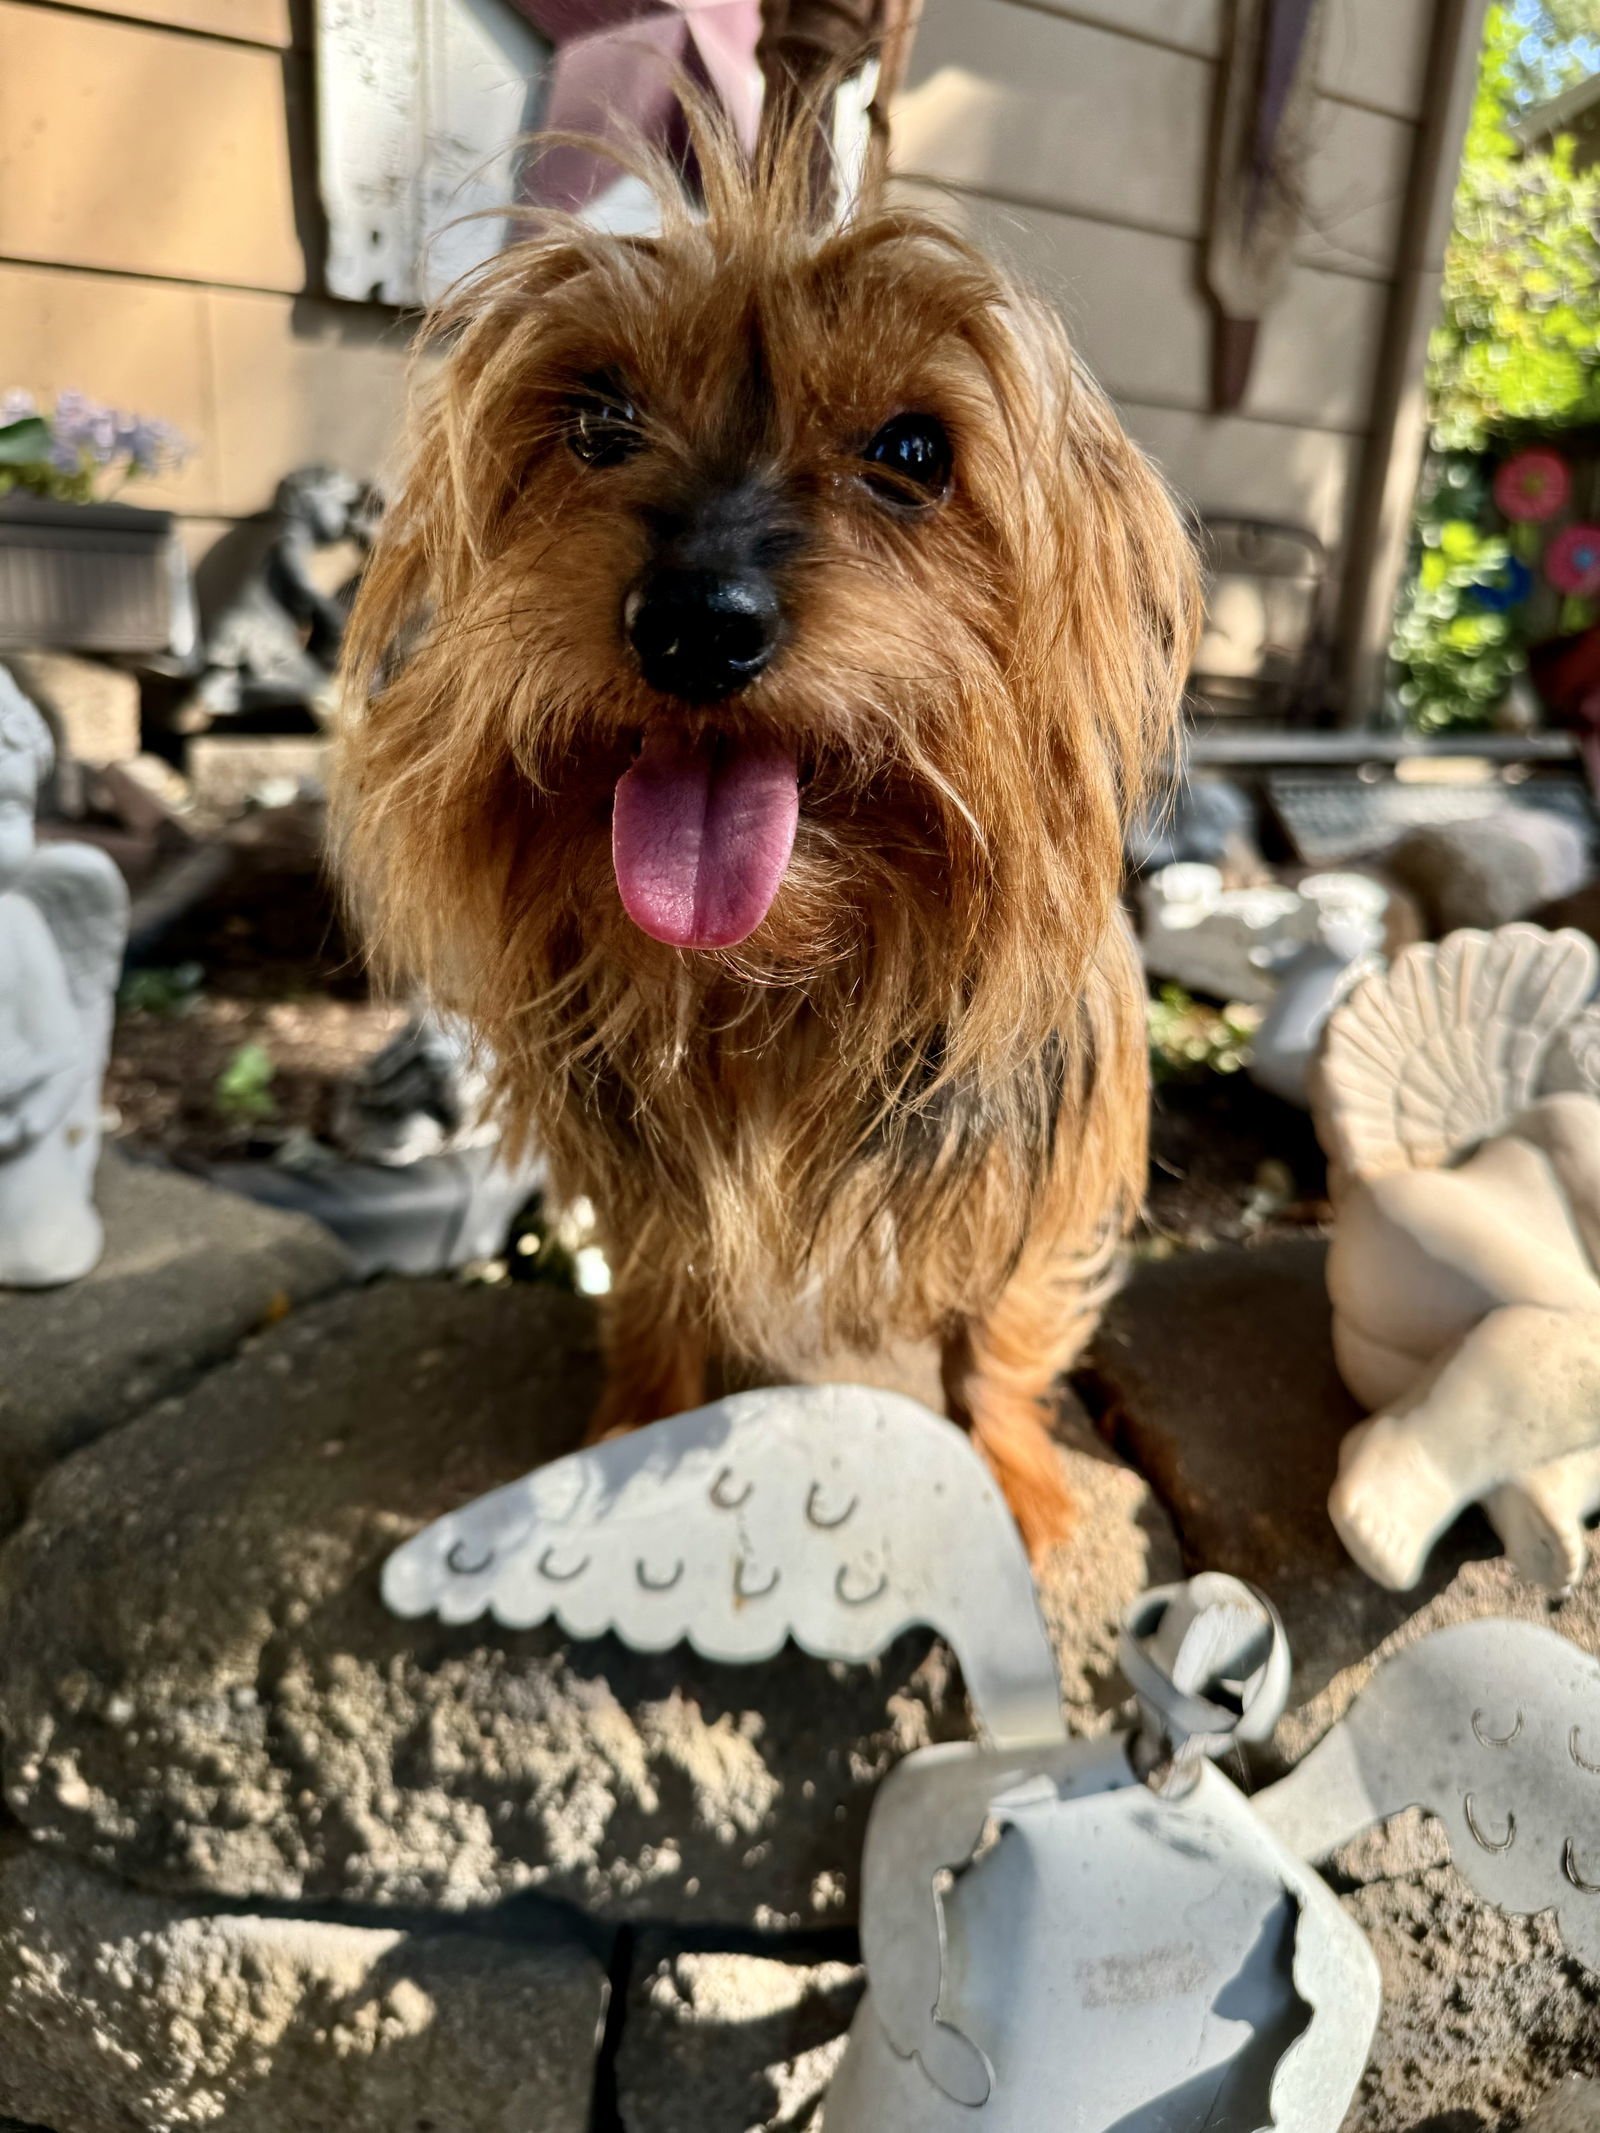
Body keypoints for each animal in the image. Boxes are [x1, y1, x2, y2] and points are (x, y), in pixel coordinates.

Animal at [339, 112, 1203, 1552]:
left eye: (913, 452)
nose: (696, 622)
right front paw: (634, 1420)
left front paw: (1016, 1477)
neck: (778, 982)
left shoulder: (1040, 1154)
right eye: (597, 420)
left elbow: (1004, 1320)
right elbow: (654, 1294)